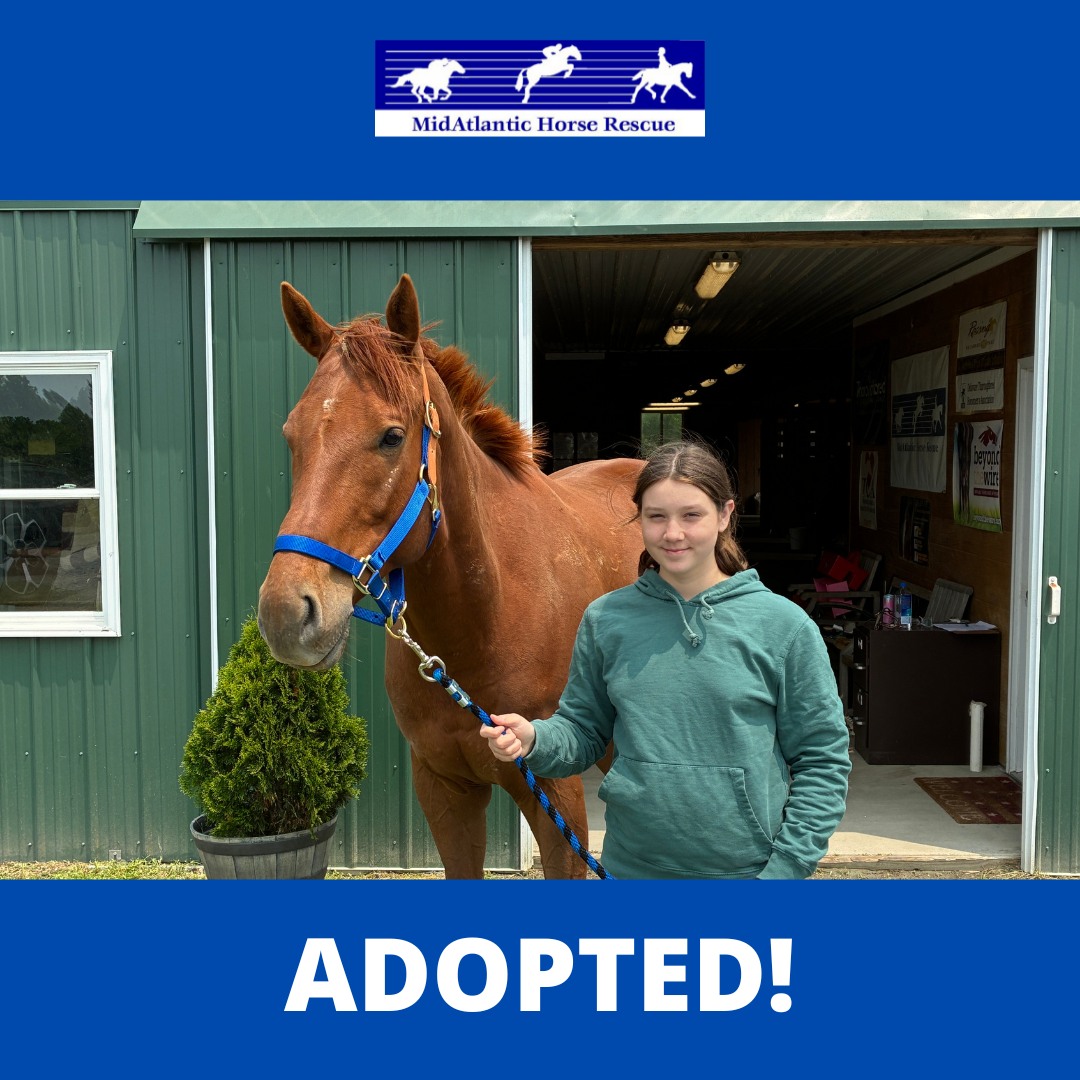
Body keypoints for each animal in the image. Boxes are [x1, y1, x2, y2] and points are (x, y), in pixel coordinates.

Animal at [257, 275, 644, 879]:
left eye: (392, 436)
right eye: (292, 435)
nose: (285, 612)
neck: (485, 617)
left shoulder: (557, 796)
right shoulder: (444, 791)